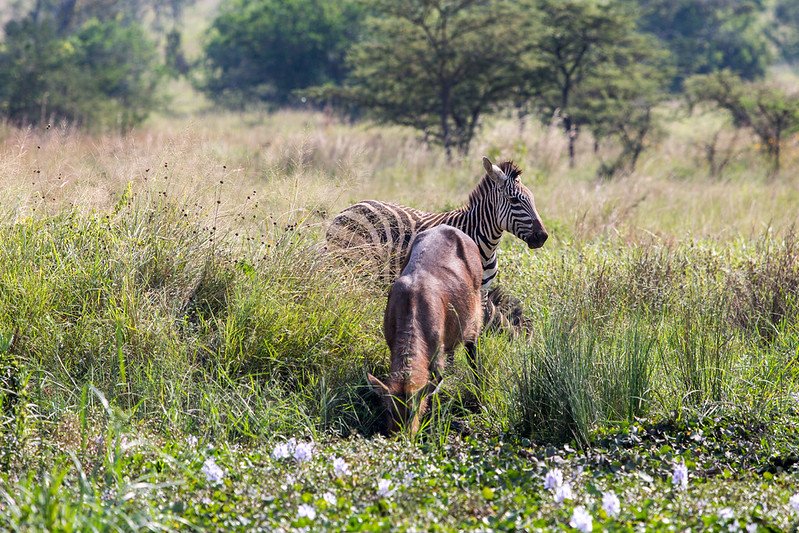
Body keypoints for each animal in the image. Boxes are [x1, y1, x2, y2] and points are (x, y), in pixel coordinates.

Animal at [326, 156, 548, 290]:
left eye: (533, 199)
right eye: (514, 200)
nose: (543, 236)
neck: (486, 247)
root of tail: (348, 209)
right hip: (354, 265)